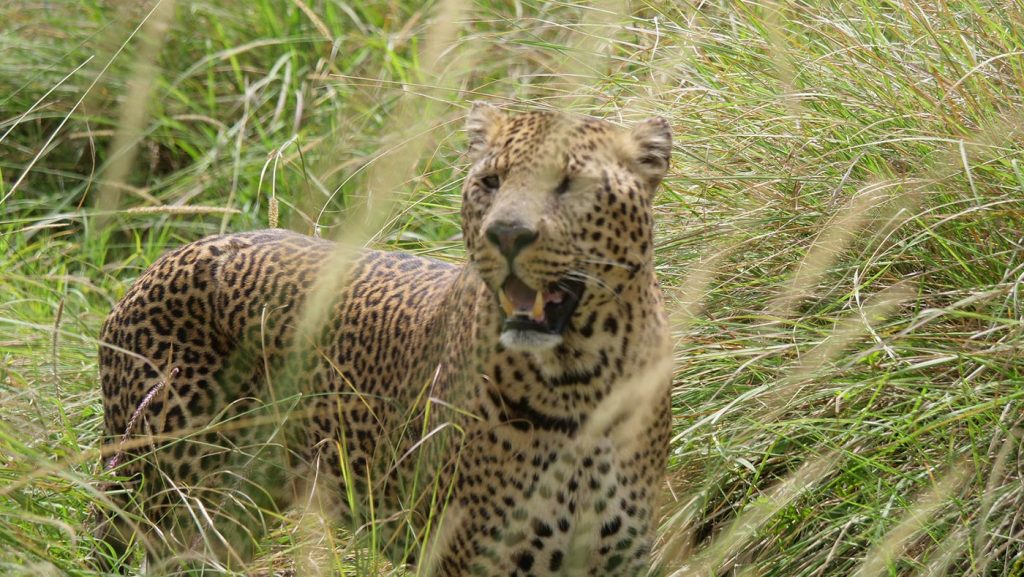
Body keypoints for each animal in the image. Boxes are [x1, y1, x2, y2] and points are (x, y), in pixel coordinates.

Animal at [95, 103, 674, 576]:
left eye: (569, 183)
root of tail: (163, 260)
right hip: (169, 501)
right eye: (491, 181)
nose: (506, 234)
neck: (581, 382)